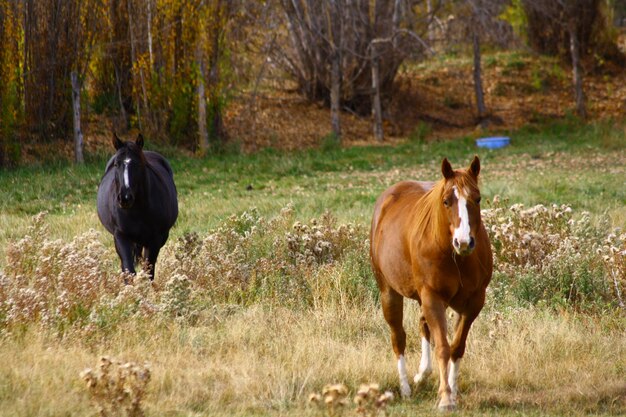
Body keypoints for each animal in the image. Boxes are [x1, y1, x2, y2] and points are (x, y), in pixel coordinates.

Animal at [96, 133, 178, 280]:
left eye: (138, 164)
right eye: (116, 164)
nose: (125, 197)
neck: (137, 210)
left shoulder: (155, 239)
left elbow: (149, 270)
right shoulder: (121, 236)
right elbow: (128, 269)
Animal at [368, 155, 490, 410]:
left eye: (477, 199)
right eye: (446, 201)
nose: (464, 242)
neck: (455, 257)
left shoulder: (473, 303)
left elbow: (456, 347)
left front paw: (452, 391)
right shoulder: (432, 297)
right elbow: (442, 347)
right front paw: (445, 398)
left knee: (423, 325)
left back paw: (422, 374)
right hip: (389, 293)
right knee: (398, 337)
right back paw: (405, 388)